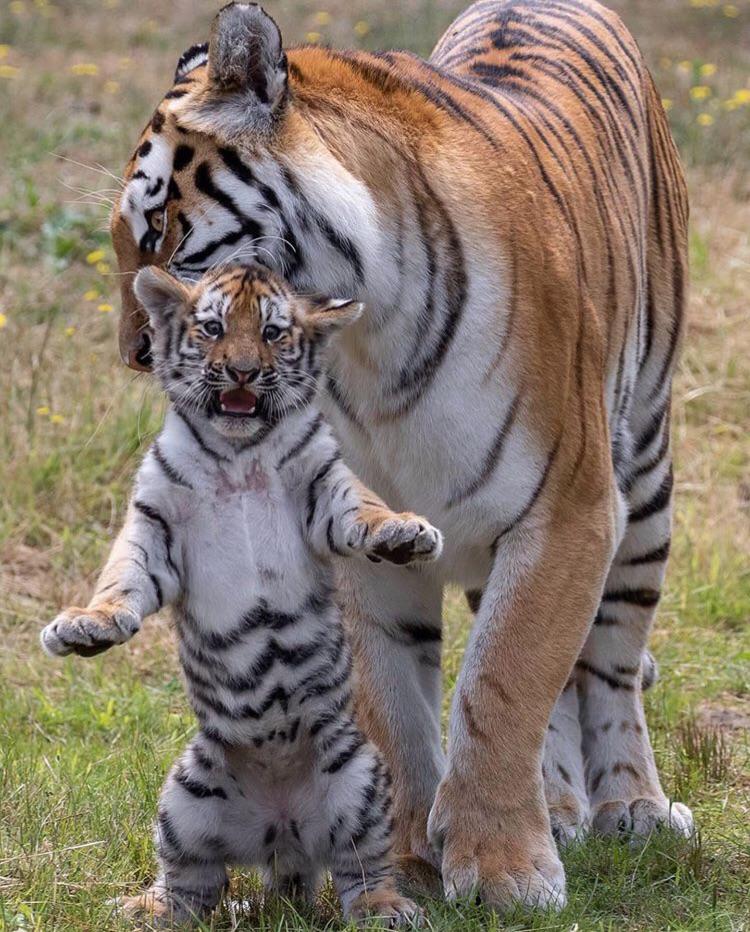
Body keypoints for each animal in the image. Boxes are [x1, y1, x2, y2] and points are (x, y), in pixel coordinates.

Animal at [110, 0, 692, 908]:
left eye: (165, 232)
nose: (138, 354)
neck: (370, 341)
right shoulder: (356, 534)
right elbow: (398, 707)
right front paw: (413, 857)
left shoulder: (569, 512)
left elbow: (505, 681)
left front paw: (501, 867)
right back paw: (559, 807)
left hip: (645, 483)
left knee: (613, 660)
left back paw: (630, 805)